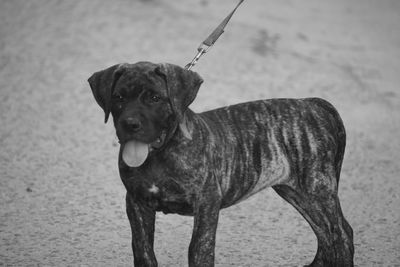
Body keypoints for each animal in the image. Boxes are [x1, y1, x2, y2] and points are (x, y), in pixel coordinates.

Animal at [87, 61, 354, 267]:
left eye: (155, 98)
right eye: (119, 98)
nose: (130, 124)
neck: (160, 153)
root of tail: (313, 103)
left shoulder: (207, 202)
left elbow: (199, 248)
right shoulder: (136, 202)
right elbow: (142, 249)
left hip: (317, 189)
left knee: (340, 234)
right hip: (296, 191)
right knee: (327, 235)